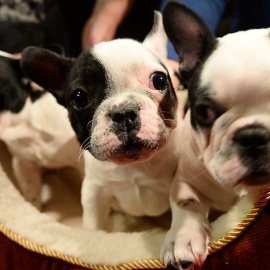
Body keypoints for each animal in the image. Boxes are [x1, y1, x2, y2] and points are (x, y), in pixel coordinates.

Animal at [20, 12, 181, 230]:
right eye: (79, 97)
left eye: (159, 80)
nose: (124, 113)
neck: (134, 167)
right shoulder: (93, 193)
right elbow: (95, 228)